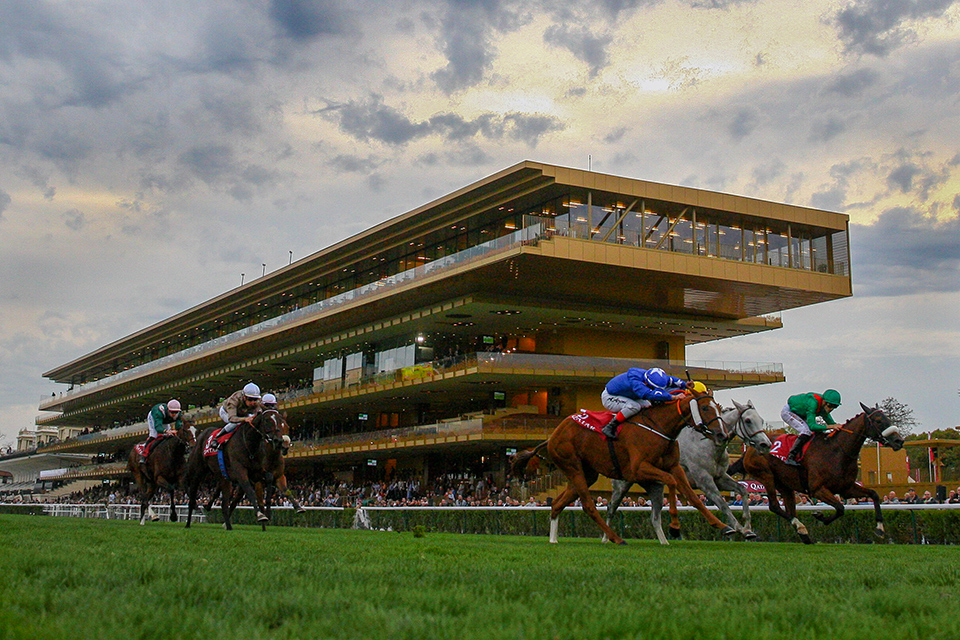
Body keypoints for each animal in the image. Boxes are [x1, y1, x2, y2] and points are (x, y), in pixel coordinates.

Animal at [512, 390, 732, 544]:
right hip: (572, 466)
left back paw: (554, 539)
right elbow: (670, 482)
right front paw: (675, 526)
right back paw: (615, 538)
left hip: (586, 473)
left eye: (719, 407)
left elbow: (693, 497)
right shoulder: (638, 468)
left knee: (557, 503)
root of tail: (551, 438)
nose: (722, 435)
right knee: (588, 505)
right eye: (705, 408)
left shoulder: (674, 466)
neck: (658, 426)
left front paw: (722, 525)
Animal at [608, 400, 772, 544]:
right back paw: (607, 538)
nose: (766, 444)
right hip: (623, 484)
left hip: (654, 485)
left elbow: (743, 490)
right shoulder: (704, 480)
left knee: (653, 517)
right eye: (748, 420)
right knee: (611, 507)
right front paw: (738, 528)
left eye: (761, 420)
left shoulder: (719, 478)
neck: (708, 443)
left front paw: (748, 528)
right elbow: (722, 504)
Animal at [732, 402, 904, 544]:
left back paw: (804, 535)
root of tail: (749, 449)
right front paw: (821, 517)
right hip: (766, 476)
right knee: (774, 506)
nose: (899, 441)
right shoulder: (817, 489)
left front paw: (879, 529)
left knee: (788, 507)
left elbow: (873, 495)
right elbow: (840, 508)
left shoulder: (846, 488)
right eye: (878, 420)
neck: (837, 451)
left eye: (887, 418)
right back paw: (801, 527)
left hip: (784, 484)